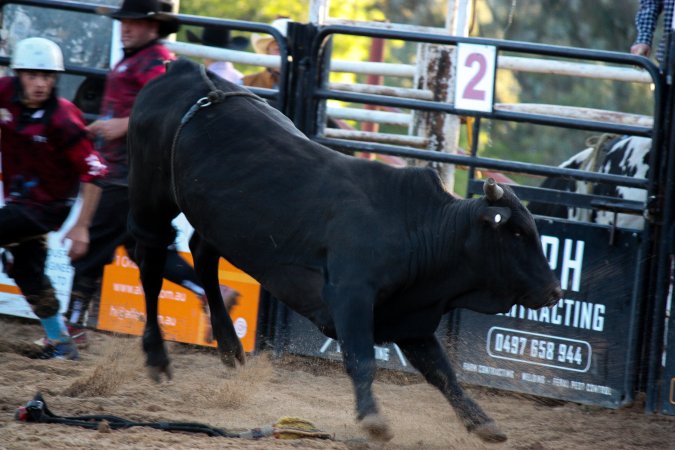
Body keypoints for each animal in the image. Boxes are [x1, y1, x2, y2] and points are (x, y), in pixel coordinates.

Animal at [127, 58, 562, 443]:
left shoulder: (411, 316)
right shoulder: (350, 296)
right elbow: (361, 359)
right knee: (150, 262)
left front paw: (482, 422)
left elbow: (443, 373)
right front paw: (373, 420)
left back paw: (230, 347)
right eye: (517, 233)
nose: (555, 291)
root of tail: (184, 70)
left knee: (202, 255)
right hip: (151, 196)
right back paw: (157, 356)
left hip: (213, 218)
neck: (420, 229)